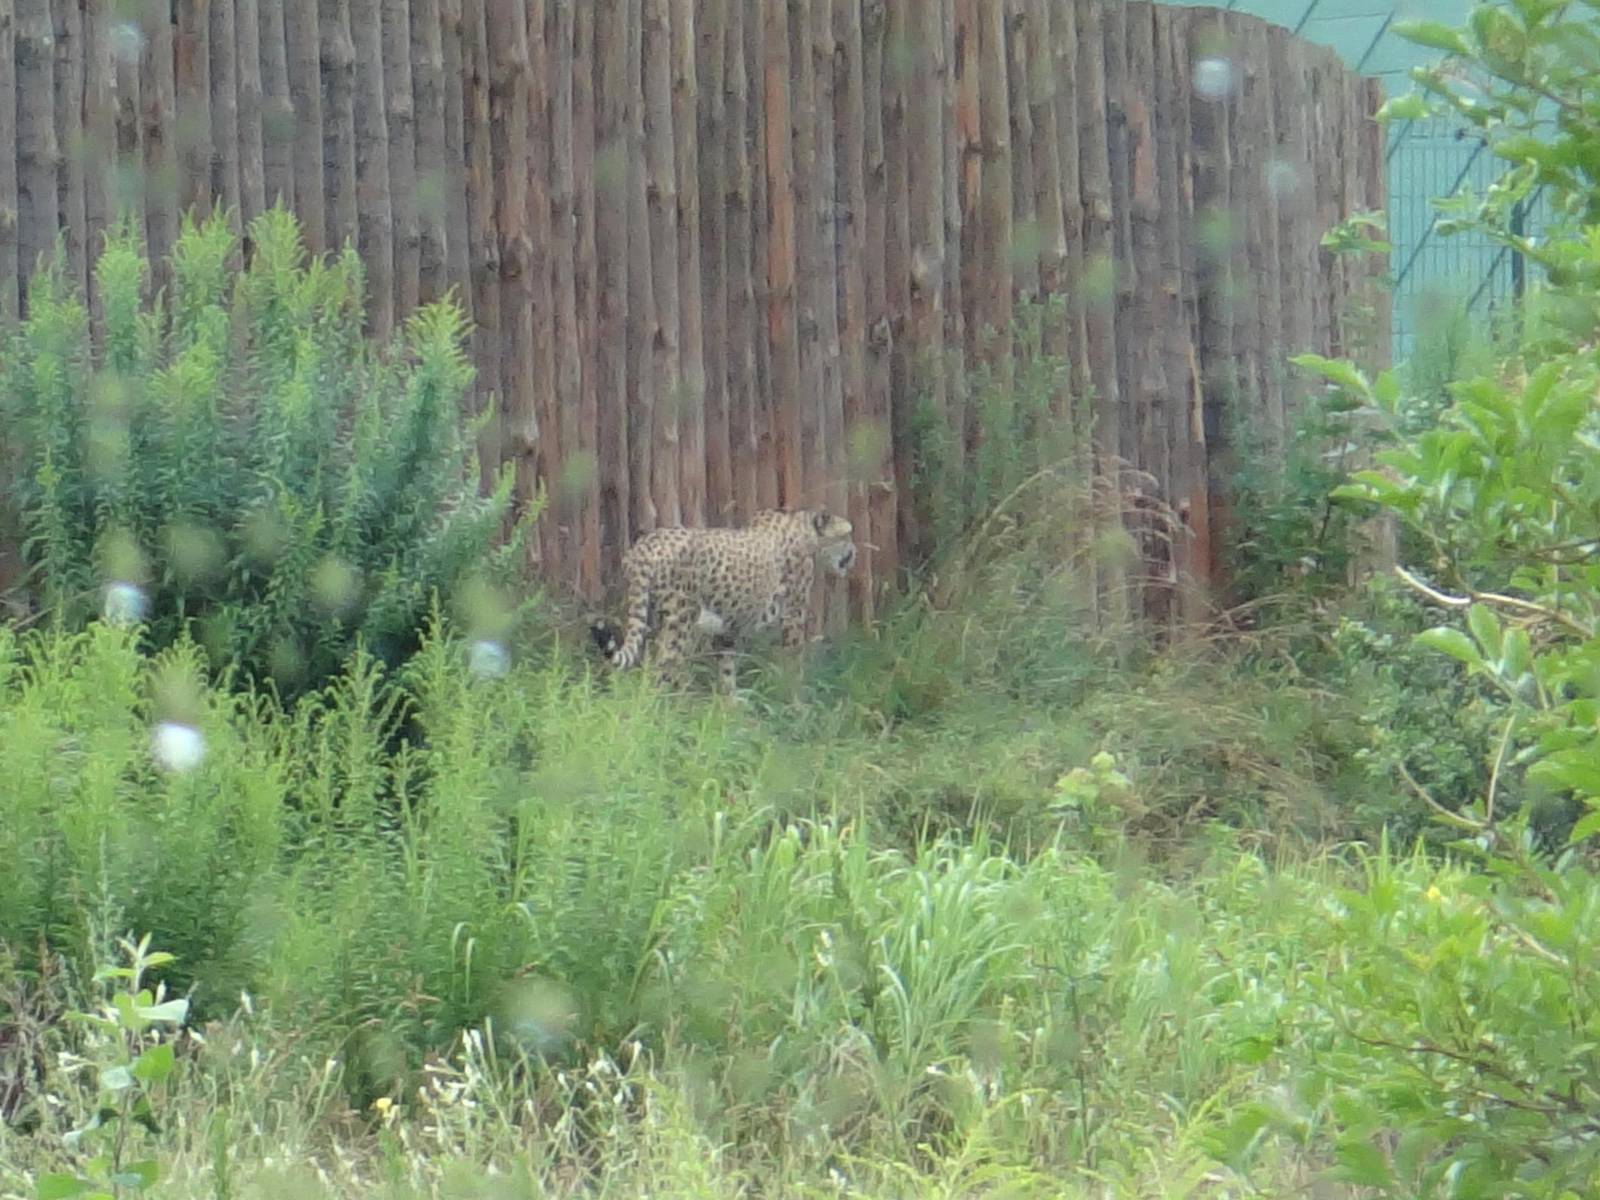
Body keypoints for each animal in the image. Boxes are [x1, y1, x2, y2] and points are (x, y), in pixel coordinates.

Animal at [589, 507, 857, 693]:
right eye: (847, 535)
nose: (854, 553)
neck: (805, 530)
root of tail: (645, 544)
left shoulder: (727, 629)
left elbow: (727, 673)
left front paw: (728, 716)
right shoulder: (793, 617)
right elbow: (794, 664)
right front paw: (797, 705)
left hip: (652, 615)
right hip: (681, 621)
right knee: (663, 666)